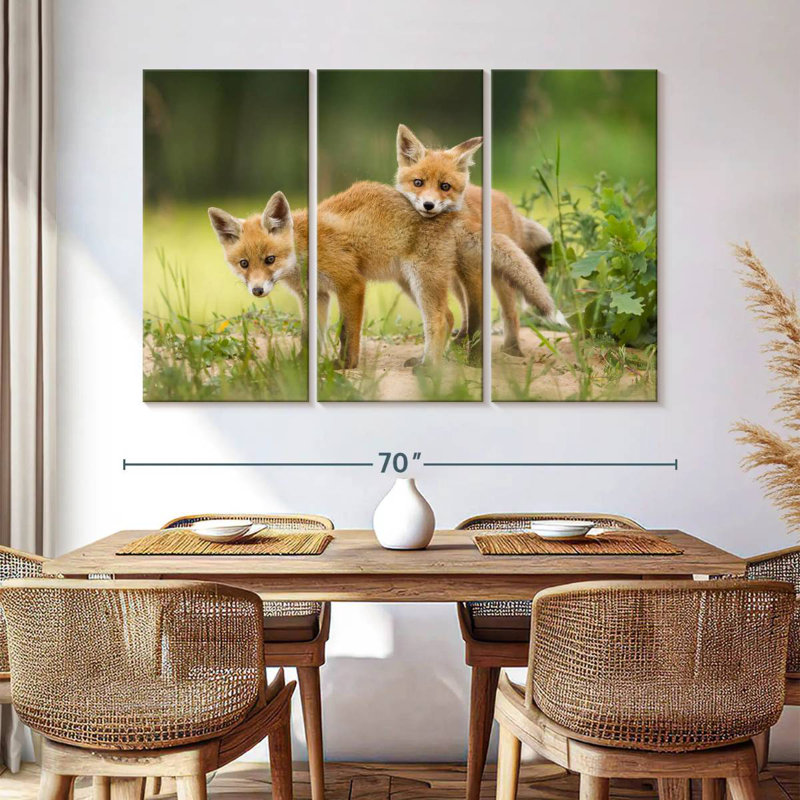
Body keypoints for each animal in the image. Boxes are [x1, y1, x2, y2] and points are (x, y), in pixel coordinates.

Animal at [393, 123, 564, 357]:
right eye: (418, 183)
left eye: (445, 186)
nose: (429, 205)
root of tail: (508, 203)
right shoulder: (458, 275)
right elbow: (468, 313)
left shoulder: (473, 272)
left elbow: (477, 314)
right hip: (456, 279)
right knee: (466, 311)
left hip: (499, 277)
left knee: (511, 314)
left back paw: (512, 349)